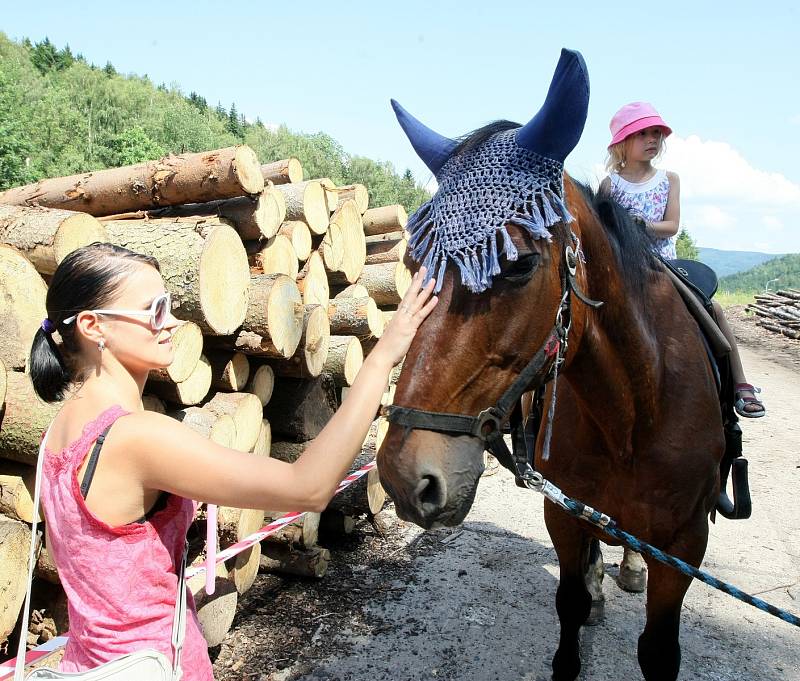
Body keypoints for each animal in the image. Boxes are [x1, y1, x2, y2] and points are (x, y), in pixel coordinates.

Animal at [376, 50, 724, 676]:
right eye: (414, 261)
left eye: (517, 264)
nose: (402, 476)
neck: (636, 413)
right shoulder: (563, 512)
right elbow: (570, 600)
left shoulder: (684, 548)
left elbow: (659, 648)